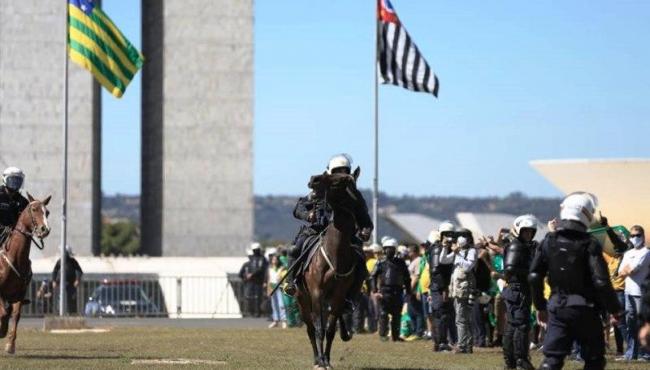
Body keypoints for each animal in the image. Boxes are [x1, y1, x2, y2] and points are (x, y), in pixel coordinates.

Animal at [0, 192, 50, 354]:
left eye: (47, 212)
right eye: (34, 209)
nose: (44, 229)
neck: (15, 257)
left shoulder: (19, 294)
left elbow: (15, 315)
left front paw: (10, 345)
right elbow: (4, 312)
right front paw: (2, 331)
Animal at [294, 168, 362, 370]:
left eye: (339, 181)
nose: (313, 179)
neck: (334, 254)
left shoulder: (338, 297)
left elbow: (331, 329)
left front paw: (328, 360)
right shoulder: (316, 293)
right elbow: (319, 329)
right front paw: (321, 361)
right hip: (302, 299)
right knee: (310, 328)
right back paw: (317, 359)